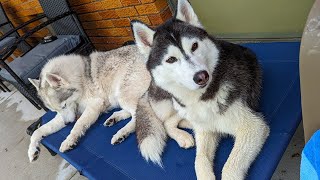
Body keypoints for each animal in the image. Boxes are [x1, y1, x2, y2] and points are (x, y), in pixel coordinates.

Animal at [132, 0, 270, 179]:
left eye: (194, 46)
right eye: (171, 59)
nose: (201, 76)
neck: (205, 96)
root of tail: (150, 85)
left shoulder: (253, 127)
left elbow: (229, 167)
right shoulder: (206, 131)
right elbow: (200, 161)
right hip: (175, 104)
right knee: (167, 122)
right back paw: (184, 135)